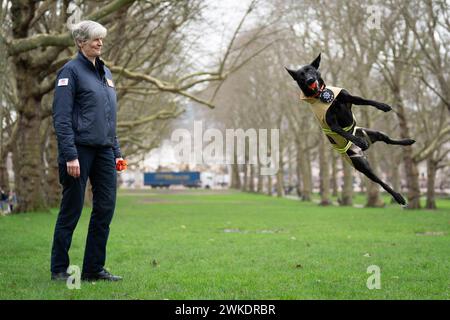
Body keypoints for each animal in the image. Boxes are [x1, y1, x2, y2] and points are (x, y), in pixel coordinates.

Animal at [286, 53, 416, 205]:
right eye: (301, 76)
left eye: (311, 71)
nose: (310, 80)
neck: (322, 95)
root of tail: (362, 152)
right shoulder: (332, 124)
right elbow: (344, 132)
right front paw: (358, 141)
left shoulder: (349, 98)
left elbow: (365, 100)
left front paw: (382, 106)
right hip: (363, 166)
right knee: (380, 182)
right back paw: (398, 196)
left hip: (374, 133)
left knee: (388, 140)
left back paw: (407, 141)